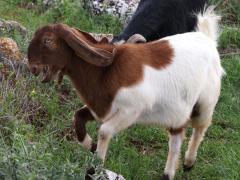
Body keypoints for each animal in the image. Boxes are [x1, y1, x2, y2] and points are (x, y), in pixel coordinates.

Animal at [28, 7, 223, 180]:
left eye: (47, 41)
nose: (32, 67)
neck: (107, 71)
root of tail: (207, 38)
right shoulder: (101, 108)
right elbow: (77, 117)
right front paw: (91, 146)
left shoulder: (131, 111)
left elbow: (104, 131)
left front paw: (94, 167)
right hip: (177, 115)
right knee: (176, 140)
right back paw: (168, 174)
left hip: (204, 104)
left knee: (200, 127)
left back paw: (189, 163)